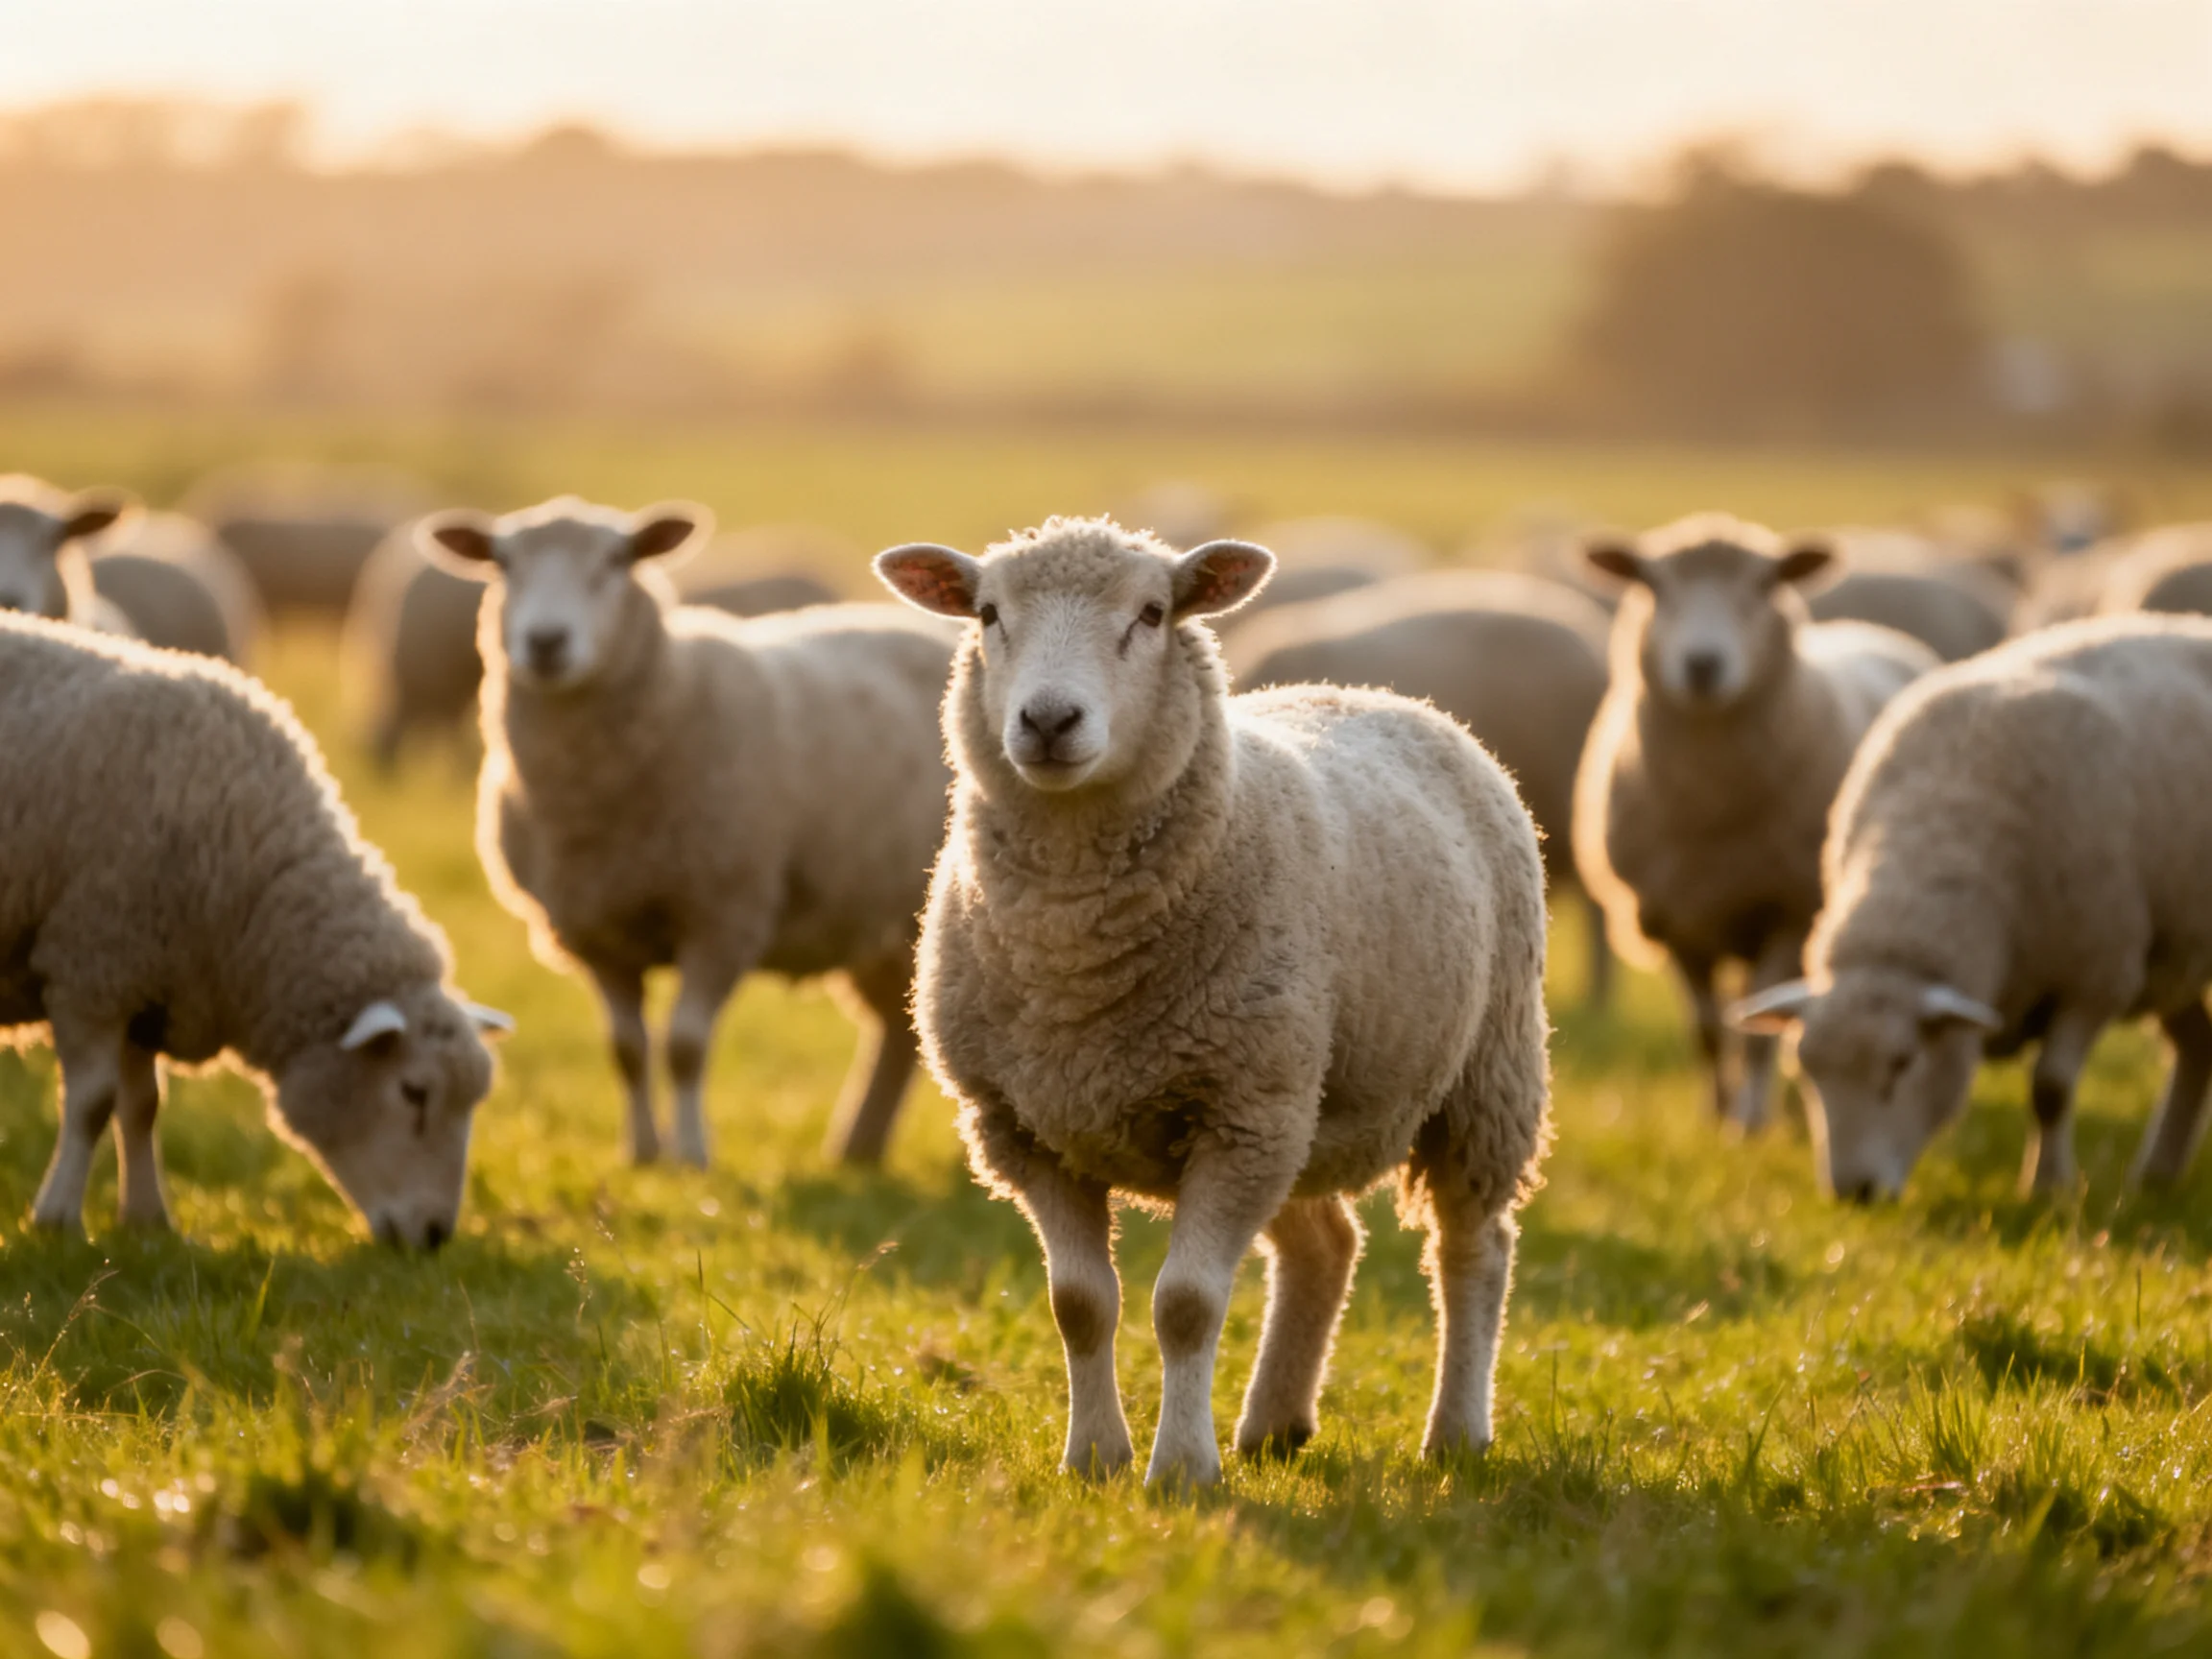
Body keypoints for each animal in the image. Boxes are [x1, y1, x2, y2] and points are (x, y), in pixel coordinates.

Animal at [0, 612, 510, 1245]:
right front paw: (59, 1219)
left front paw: (148, 1220)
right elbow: (95, 1103)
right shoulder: (92, 963)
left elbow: (142, 1105)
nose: (437, 1235)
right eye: (413, 1092)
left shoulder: (146, 984)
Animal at [419, 496, 957, 1168]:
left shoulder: (723, 913)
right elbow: (626, 1051)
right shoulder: (594, 929)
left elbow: (684, 1046)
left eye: (617, 559)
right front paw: (642, 1154)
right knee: (896, 1031)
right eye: (502, 563)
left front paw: (694, 1156)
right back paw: (856, 1149)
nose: (545, 641)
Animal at [874, 516, 1551, 1488]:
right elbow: (1079, 1303)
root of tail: (1381, 695)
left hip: (1477, 1076)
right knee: (1325, 1248)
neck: (1075, 961)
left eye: (1153, 614)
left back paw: (1456, 1431)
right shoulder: (1026, 1127)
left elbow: (1187, 1305)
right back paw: (1274, 1424)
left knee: (1474, 1249)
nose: (1047, 721)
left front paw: (1182, 1471)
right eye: (989, 614)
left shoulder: (1236, 1113)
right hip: (1303, 1100)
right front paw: (1095, 1459)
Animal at [1573, 513, 1938, 1132]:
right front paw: (1716, 1115)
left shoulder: (1787, 910)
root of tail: (1872, 631)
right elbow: (1708, 1032)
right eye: (1653, 585)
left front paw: (1748, 1124)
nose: (1702, 665)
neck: (1711, 809)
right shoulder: (1676, 918)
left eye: (1765, 586)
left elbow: (1756, 1038)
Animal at [1734, 614, 2212, 1200]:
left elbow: (2051, 1088)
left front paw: (2048, 1188)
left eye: (1903, 1062)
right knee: (2200, 1047)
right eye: (1804, 1069)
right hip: (2173, 961)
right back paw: (2157, 1175)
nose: (1855, 1192)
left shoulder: (2099, 974)